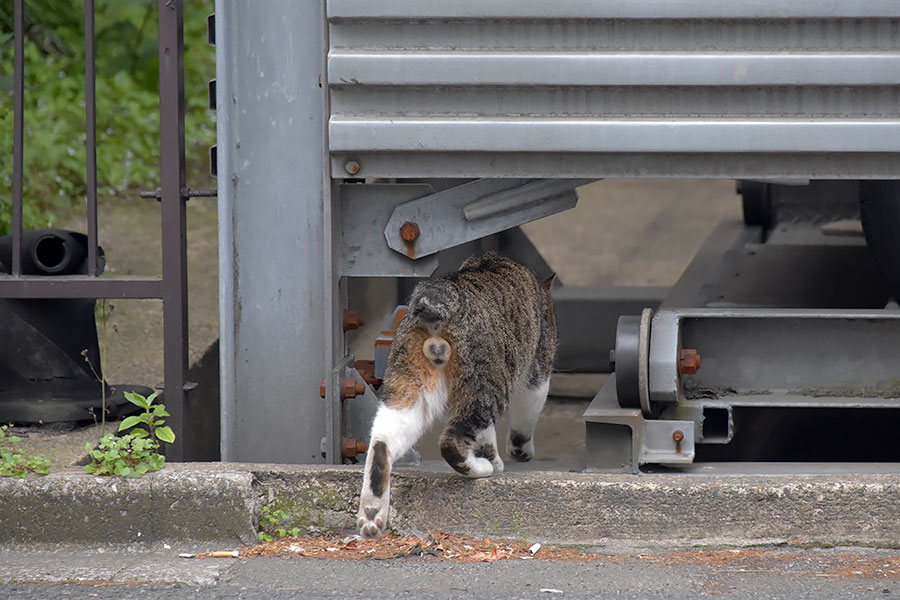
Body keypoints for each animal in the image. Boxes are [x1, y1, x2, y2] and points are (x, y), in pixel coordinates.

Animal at [356, 252, 556, 540]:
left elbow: (486, 435)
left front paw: (493, 457)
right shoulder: (537, 371)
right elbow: (524, 418)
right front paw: (515, 453)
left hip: (410, 380)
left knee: (383, 441)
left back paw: (371, 513)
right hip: (488, 385)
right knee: (451, 440)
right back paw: (479, 468)